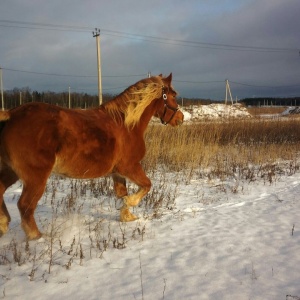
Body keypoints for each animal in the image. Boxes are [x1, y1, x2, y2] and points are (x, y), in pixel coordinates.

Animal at [0, 74, 183, 240]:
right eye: (173, 95)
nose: (181, 119)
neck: (126, 125)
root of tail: (11, 114)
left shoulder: (117, 172)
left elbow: (122, 193)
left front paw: (126, 216)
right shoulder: (130, 167)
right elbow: (146, 186)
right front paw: (129, 205)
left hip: (10, 171)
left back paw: (3, 225)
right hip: (35, 178)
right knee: (25, 205)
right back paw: (36, 237)